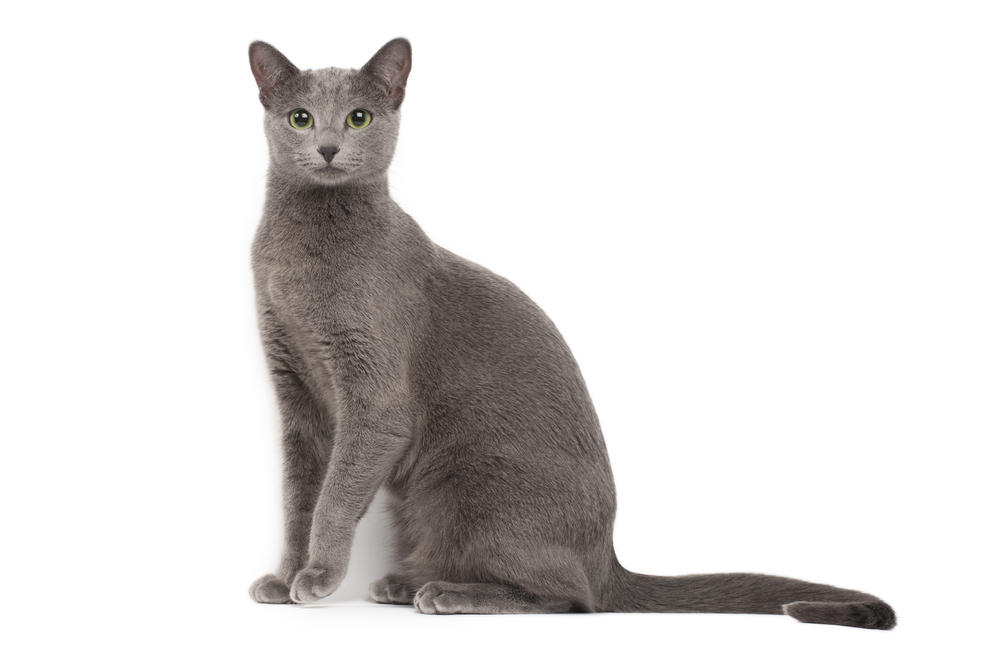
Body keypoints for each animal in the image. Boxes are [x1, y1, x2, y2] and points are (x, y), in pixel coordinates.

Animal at [246, 39, 896, 628]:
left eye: (359, 117)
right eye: (300, 117)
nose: (329, 147)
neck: (295, 262)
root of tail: (608, 558)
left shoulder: (374, 397)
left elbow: (333, 499)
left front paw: (318, 577)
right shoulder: (297, 389)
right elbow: (299, 499)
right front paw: (284, 576)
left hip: (471, 493)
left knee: (571, 598)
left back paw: (447, 593)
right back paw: (408, 583)